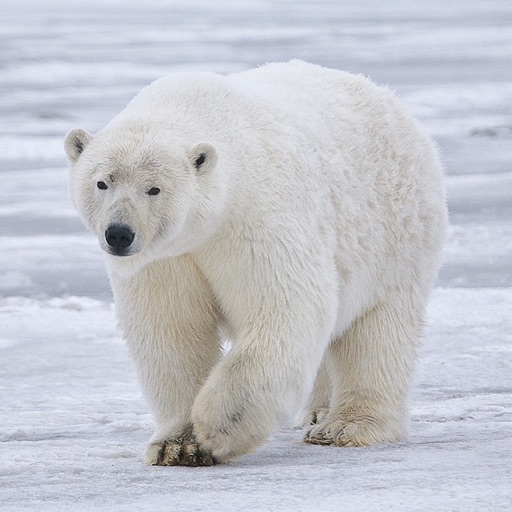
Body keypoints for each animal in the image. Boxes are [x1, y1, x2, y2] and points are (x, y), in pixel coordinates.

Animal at [65, 61, 448, 468]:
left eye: (154, 188)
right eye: (102, 182)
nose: (119, 234)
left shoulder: (255, 218)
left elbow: (284, 309)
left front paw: (218, 427)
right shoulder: (165, 259)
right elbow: (172, 330)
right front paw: (178, 445)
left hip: (396, 235)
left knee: (378, 332)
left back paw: (346, 426)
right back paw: (316, 412)